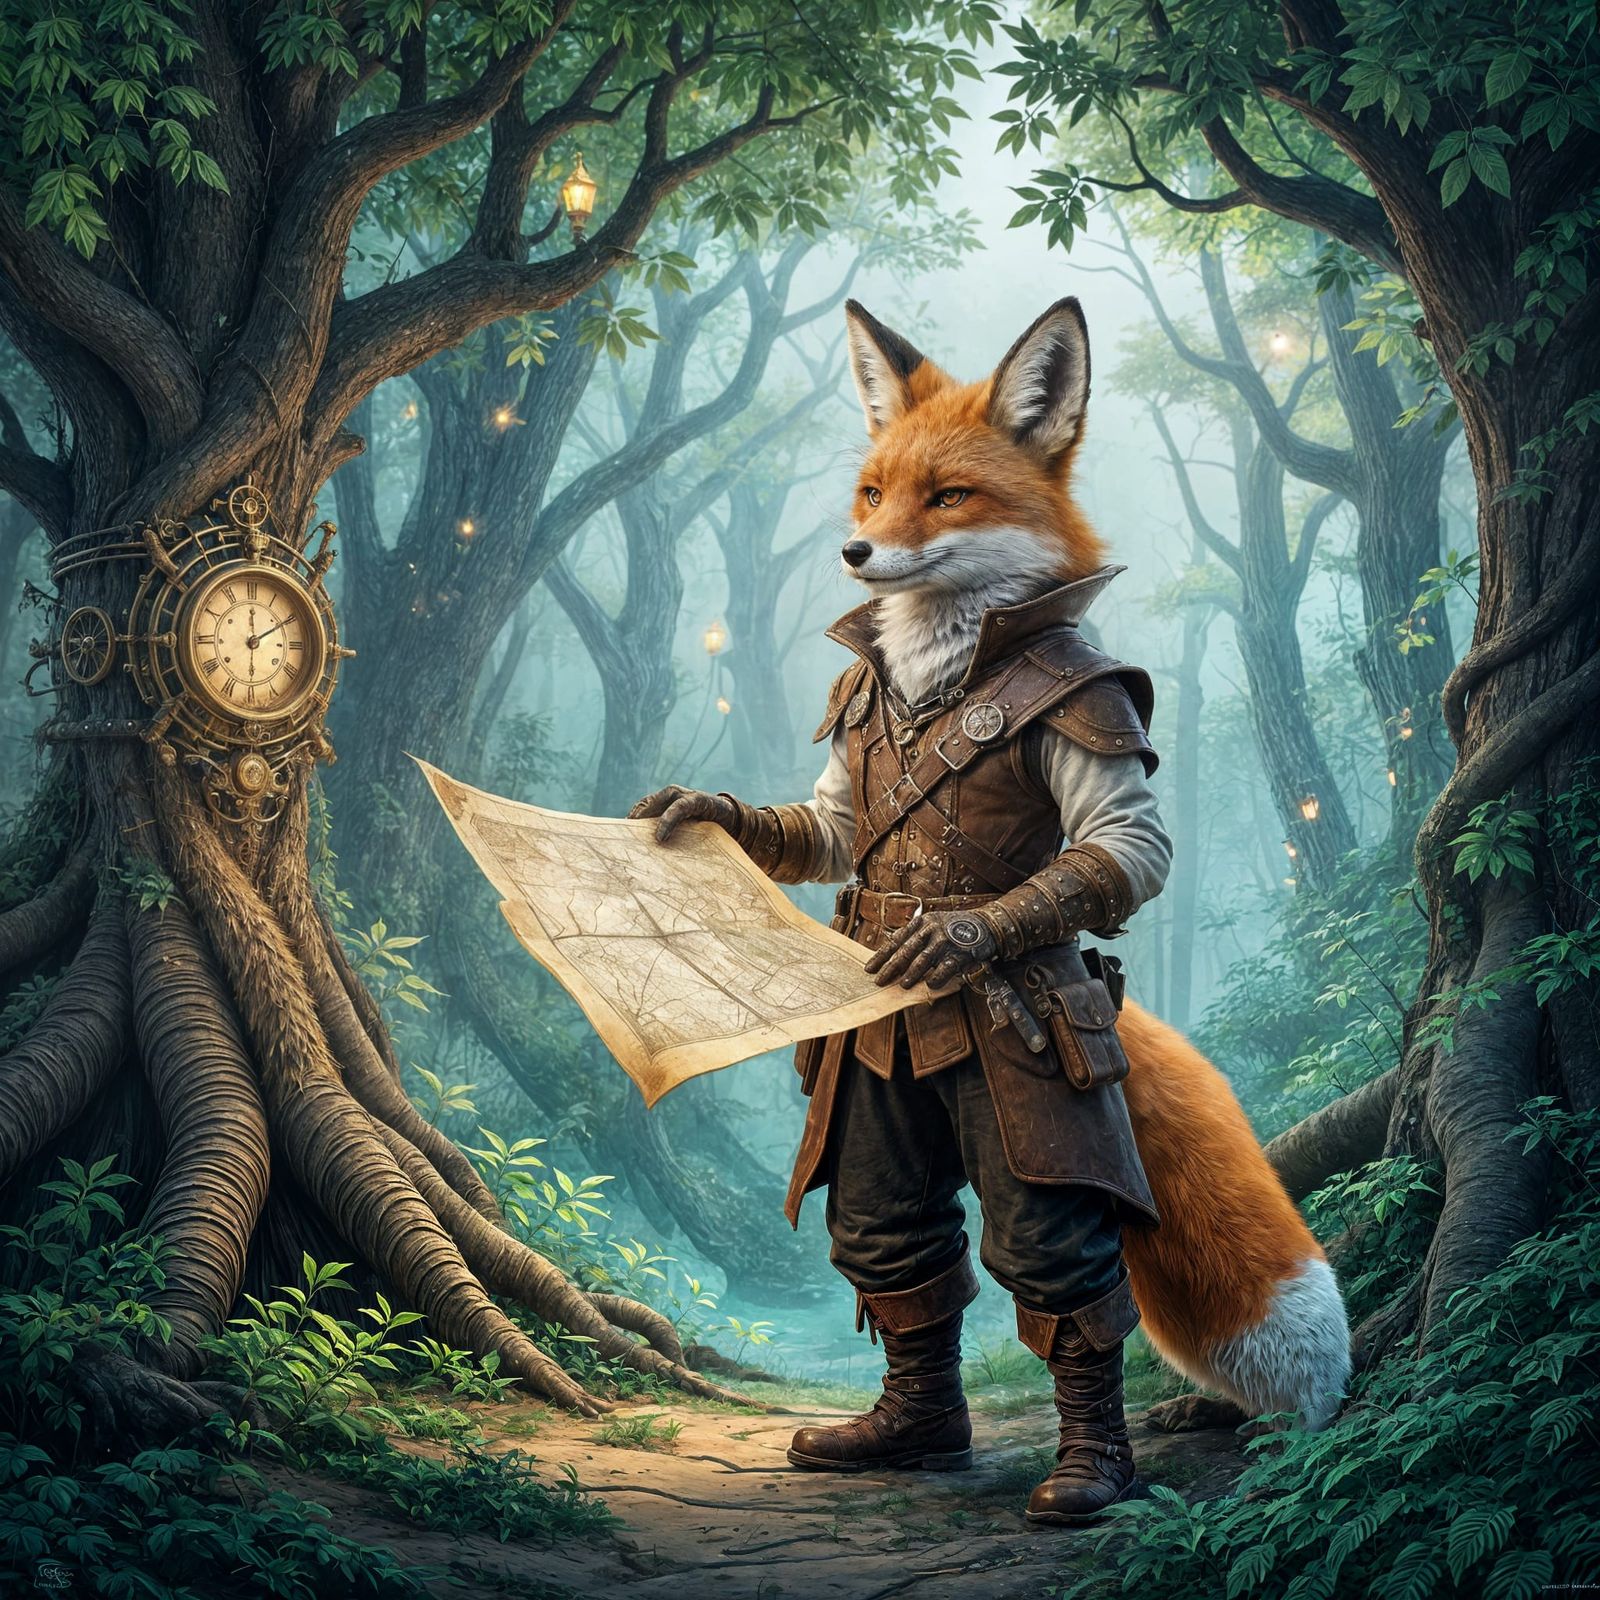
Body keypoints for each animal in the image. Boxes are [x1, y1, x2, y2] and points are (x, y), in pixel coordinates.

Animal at [836, 295, 1350, 1433]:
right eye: (873, 490)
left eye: (948, 496)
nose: (853, 550)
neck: (944, 669)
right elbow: (824, 820)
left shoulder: (1096, 713)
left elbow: (1123, 846)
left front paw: (955, 935)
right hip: (878, 1101)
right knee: (893, 1238)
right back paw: (911, 1428)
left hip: (1032, 1112)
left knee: (1062, 1278)